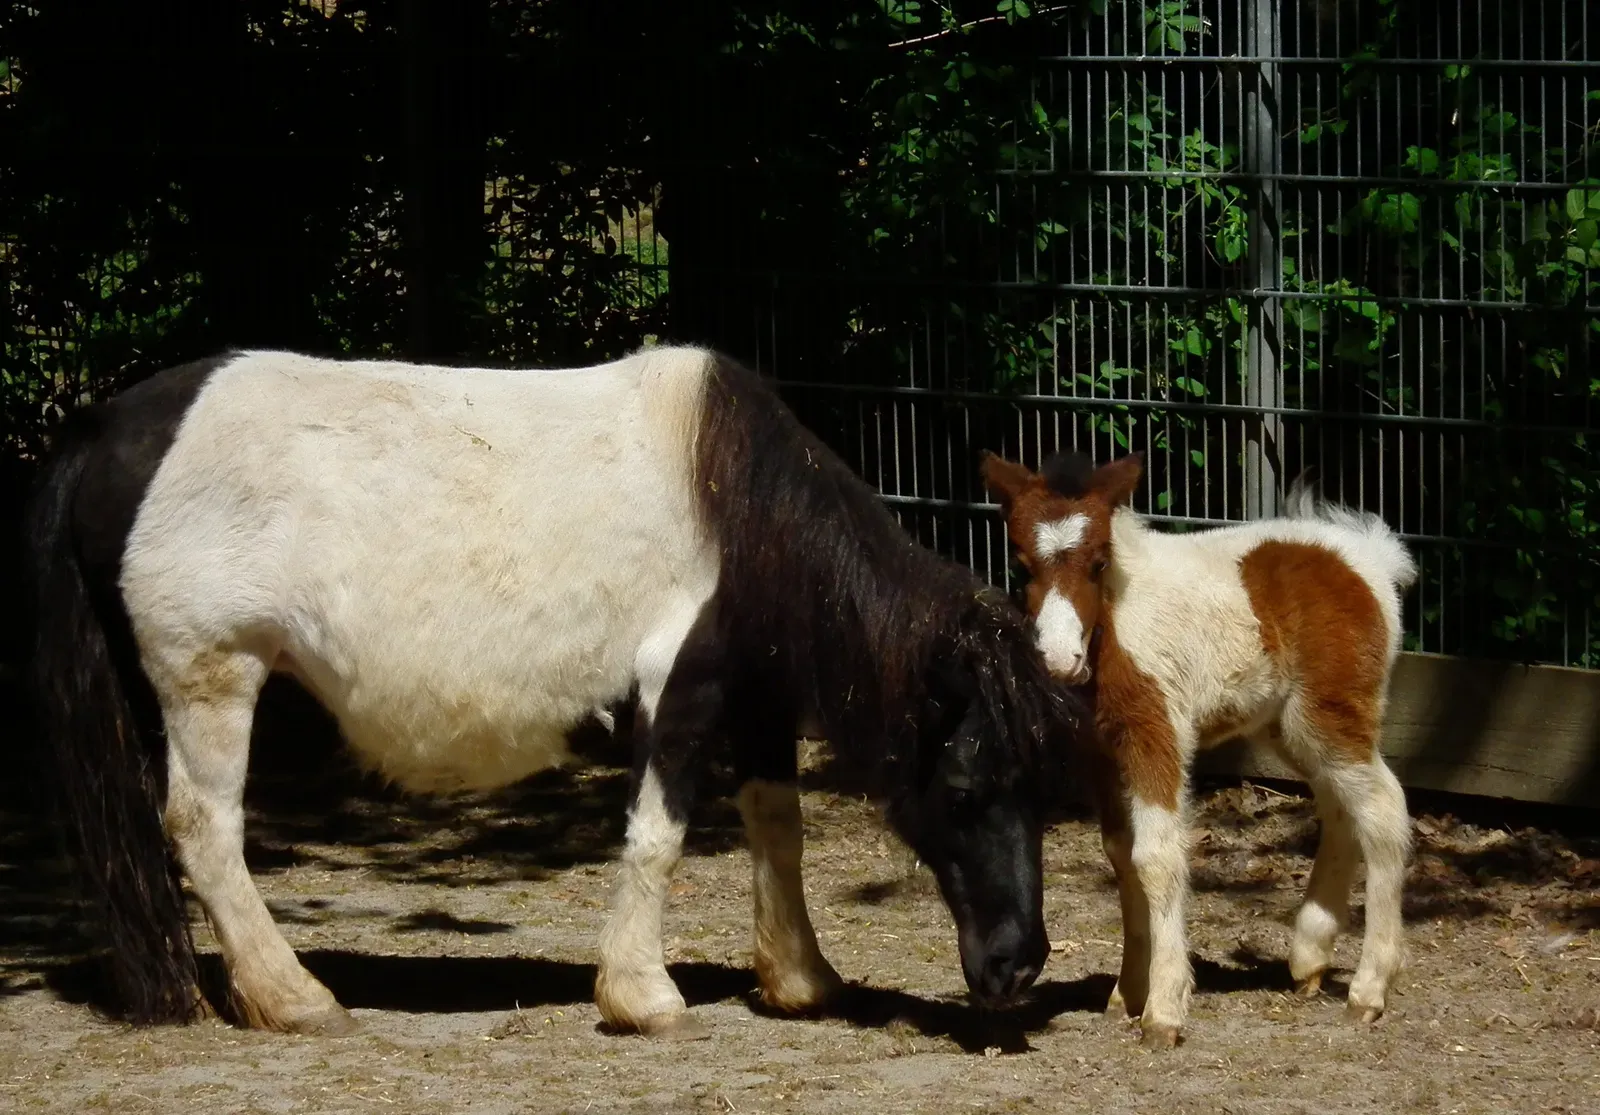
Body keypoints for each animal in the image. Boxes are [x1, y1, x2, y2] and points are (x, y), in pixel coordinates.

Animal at [22, 344, 1086, 1040]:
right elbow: (657, 836)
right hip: (212, 675)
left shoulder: (758, 699)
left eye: (1044, 791)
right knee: (204, 828)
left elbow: (776, 824)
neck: (739, 506)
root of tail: (108, 431)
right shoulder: (679, 690)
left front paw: (800, 977)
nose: (1018, 963)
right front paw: (642, 994)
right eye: (966, 790)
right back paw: (293, 997)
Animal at [979, 448, 1416, 1049]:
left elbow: (1156, 857)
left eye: (1098, 562)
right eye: (1022, 565)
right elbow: (1121, 855)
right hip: (1291, 726)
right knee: (1339, 807)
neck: (1113, 626)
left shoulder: (1156, 734)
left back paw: (1368, 990)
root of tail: (1367, 557)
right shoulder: (1102, 754)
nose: (1060, 661)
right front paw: (1126, 993)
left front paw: (1163, 1009)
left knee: (1382, 811)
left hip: (1329, 714)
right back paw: (1309, 957)